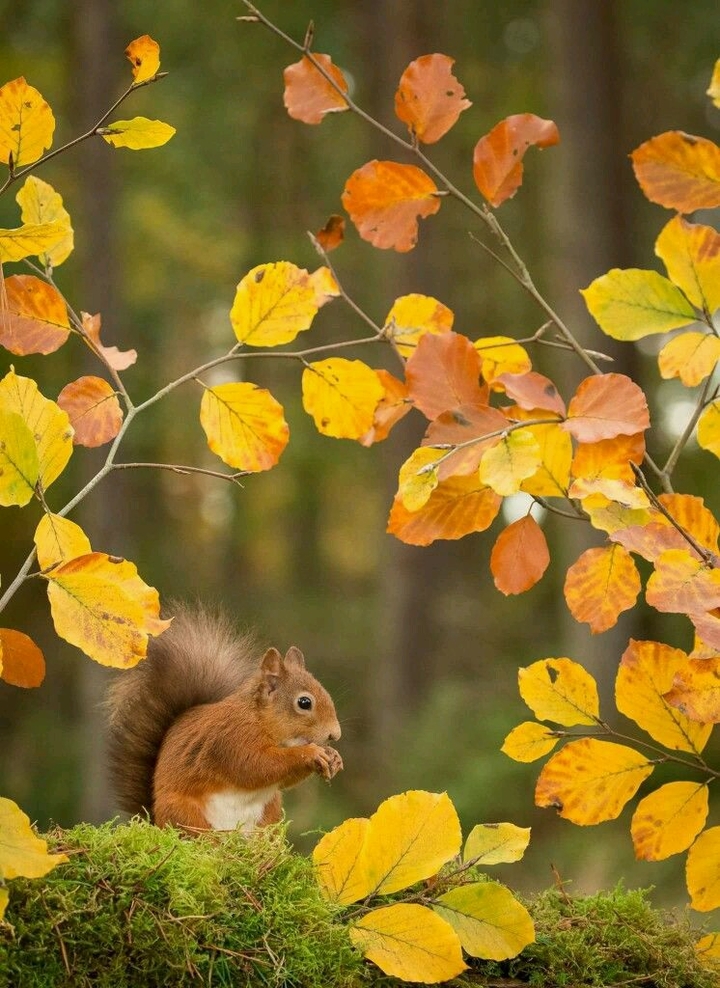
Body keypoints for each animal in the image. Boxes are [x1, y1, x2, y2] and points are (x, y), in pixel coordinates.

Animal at [105, 605, 343, 831]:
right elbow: (256, 766)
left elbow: (283, 780)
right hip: (182, 812)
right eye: (304, 703)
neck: (260, 720)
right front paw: (311, 753)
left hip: (270, 811)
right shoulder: (230, 738)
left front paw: (334, 757)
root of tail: (155, 820)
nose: (335, 735)